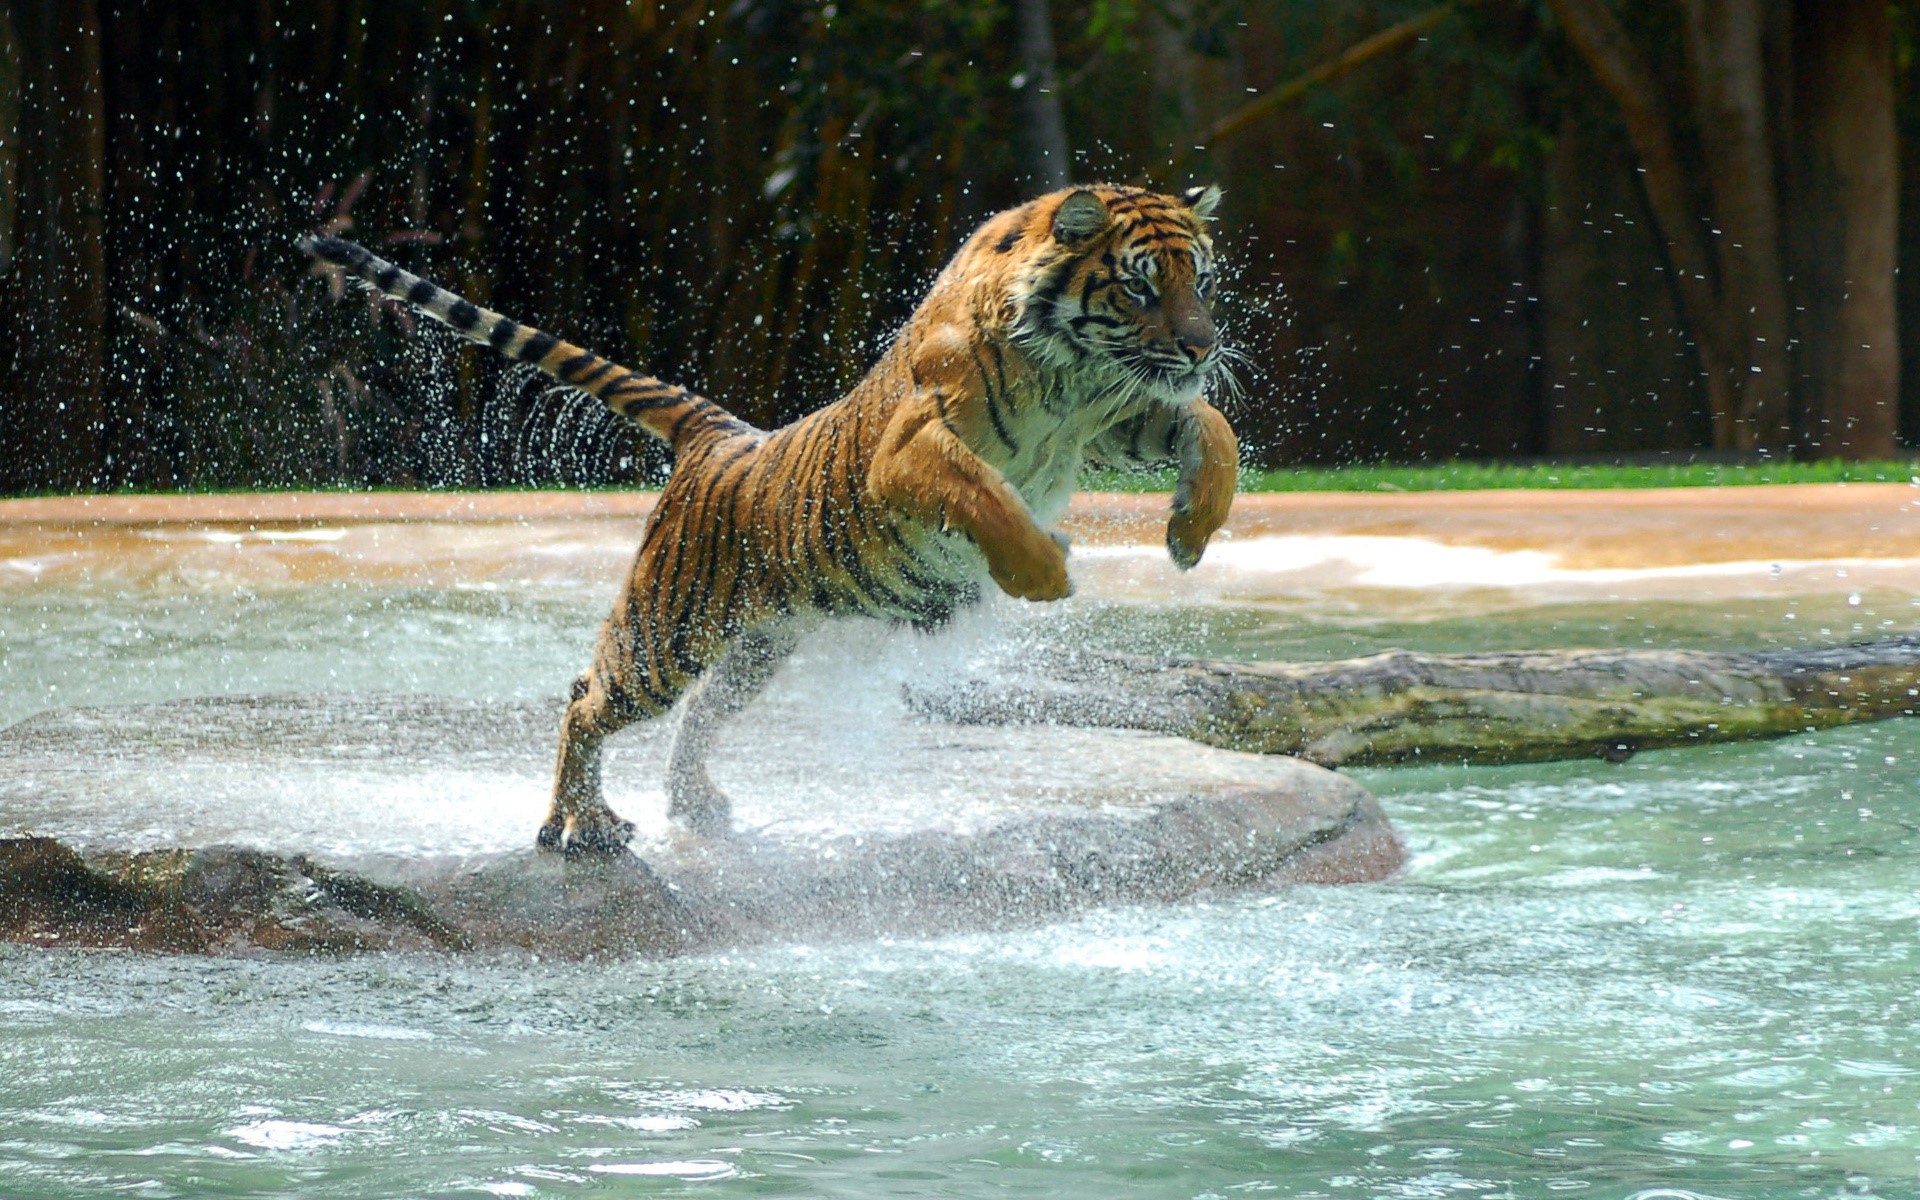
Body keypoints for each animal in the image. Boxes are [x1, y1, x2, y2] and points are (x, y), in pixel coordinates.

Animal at [305, 183, 1239, 859]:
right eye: (1140, 285)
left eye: (1199, 280)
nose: (1204, 346)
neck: (1072, 375)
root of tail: (720, 436)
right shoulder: (911, 450)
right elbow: (986, 496)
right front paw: (1045, 571)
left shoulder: (1121, 416)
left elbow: (1212, 428)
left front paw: (1190, 533)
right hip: (666, 632)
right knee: (585, 700)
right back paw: (580, 827)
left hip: (757, 644)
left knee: (699, 715)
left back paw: (697, 809)